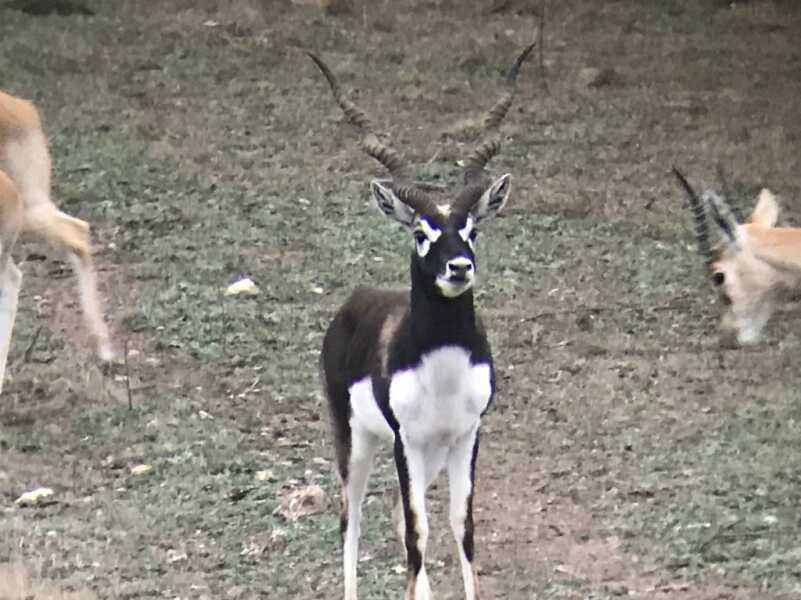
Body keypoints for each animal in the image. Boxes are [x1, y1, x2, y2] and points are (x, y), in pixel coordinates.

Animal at [311, 44, 535, 600]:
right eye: (420, 232)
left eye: (472, 229)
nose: (459, 267)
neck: (444, 371)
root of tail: (356, 299)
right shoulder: (406, 441)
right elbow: (419, 532)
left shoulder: (465, 436)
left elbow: (460, 528)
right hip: (358, 439)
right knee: (352, 518)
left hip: (428, 454)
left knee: (395, 513)